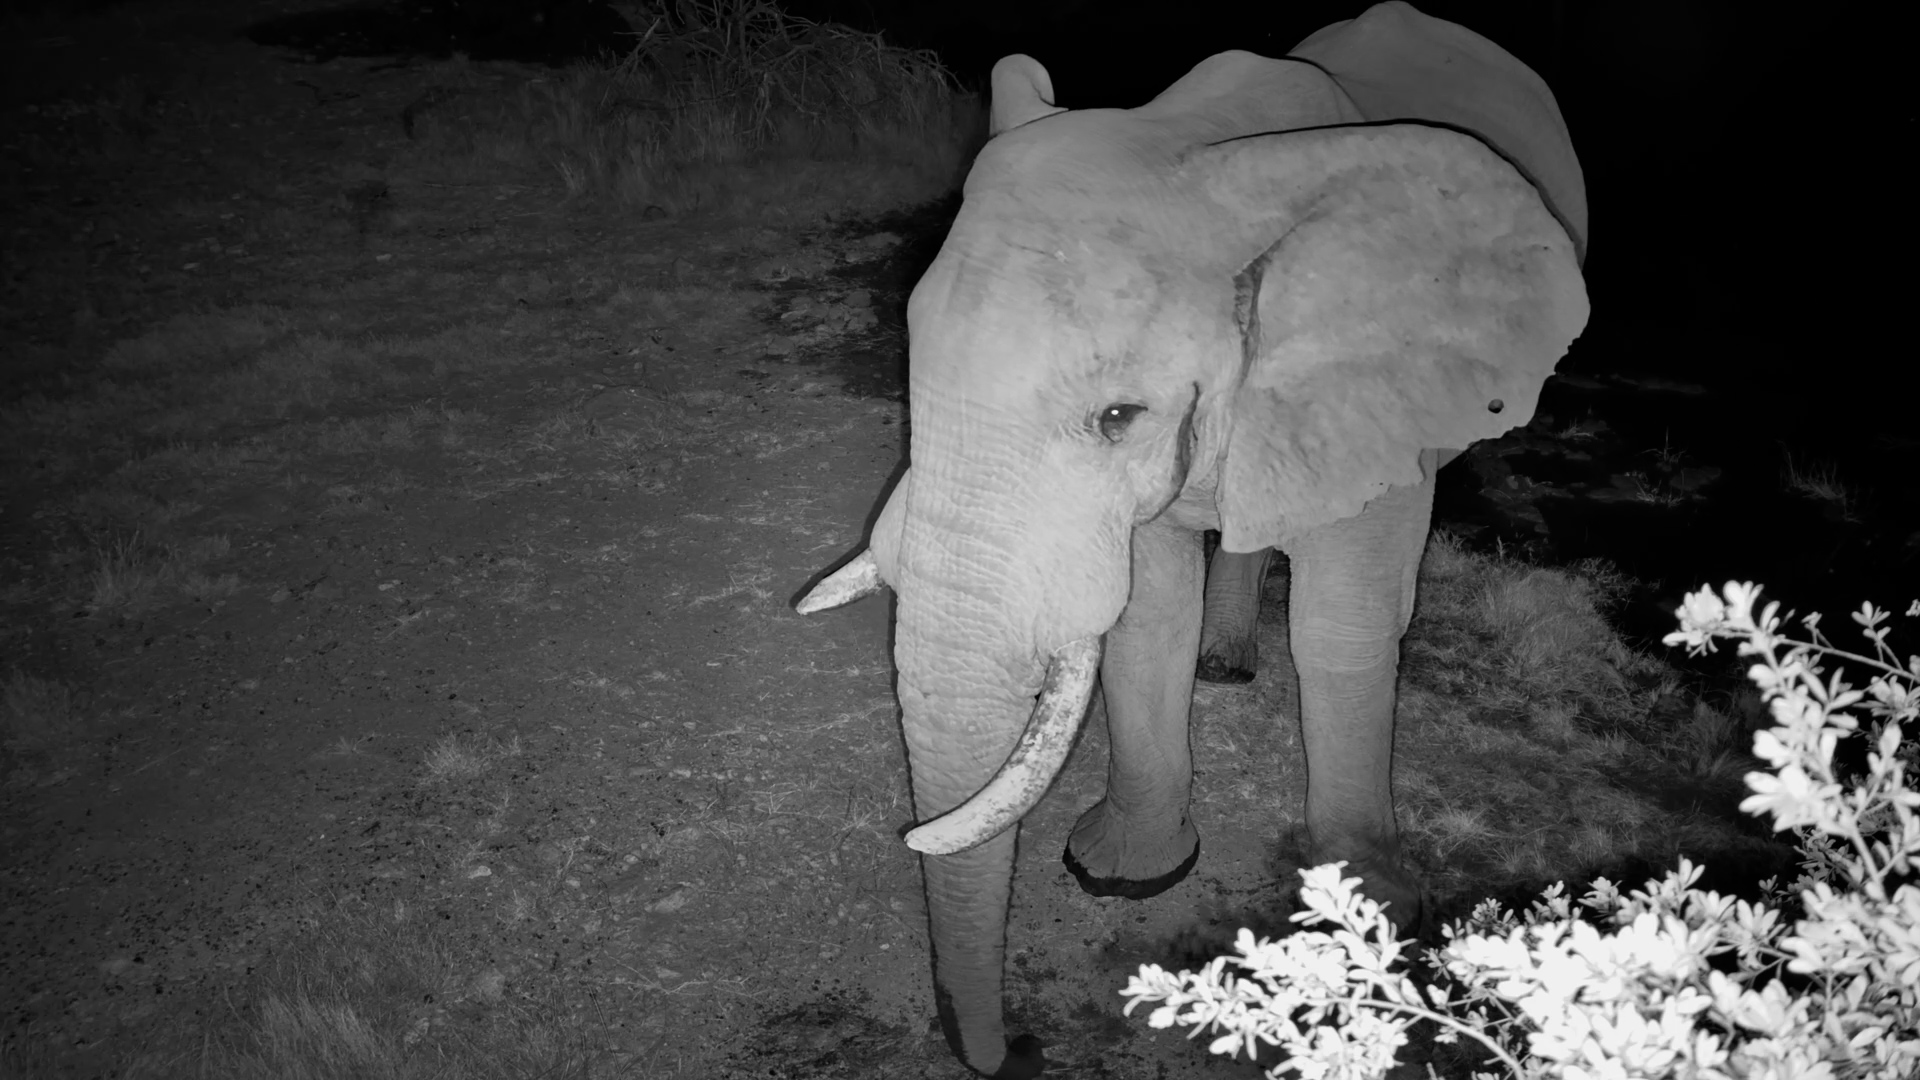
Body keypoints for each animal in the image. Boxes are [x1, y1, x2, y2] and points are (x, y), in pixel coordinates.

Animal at [796, 3, 1588, 1075]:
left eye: (1118, 416)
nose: (1013, 1052)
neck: (1195, 151)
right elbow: (1146, 614)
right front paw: (1123, 875)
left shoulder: (1381, 377)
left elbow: (1342, 623)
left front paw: (1367, 922)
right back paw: (1222, 666)